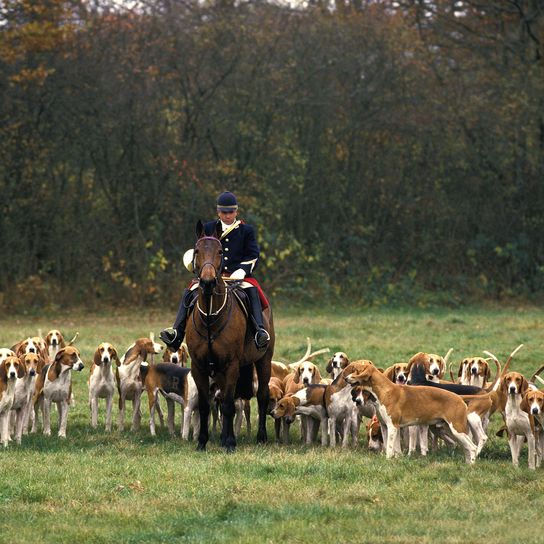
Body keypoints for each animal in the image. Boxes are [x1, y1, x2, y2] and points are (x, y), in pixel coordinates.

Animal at [186, 219, 274, 452]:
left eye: (219, 251)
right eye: (197, 250)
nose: (207, 282)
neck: (210, 317)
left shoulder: (232, 364)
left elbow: (227, 405)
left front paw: (230, 443)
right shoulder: (198, 366)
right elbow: (206, 405)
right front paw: (202, 442)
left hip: (264, 360)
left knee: (262, 396)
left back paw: (261, 437)